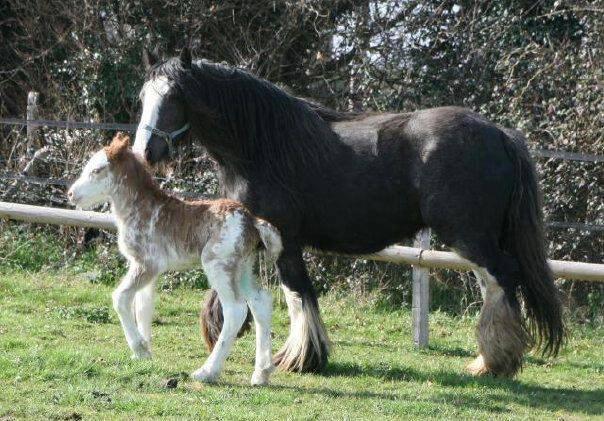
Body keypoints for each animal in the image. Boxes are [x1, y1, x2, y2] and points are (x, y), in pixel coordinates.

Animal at [68, 134, 280, 384]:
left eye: (97, 170)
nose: (71, 194)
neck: (139, 210)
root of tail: (253, 223)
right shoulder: (146, 269)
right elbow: (143, 305)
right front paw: (144, 353)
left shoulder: (147, 264)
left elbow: (120, 297)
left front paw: (139, 347)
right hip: (243, 267)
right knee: (260, 302)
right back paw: (261, 373)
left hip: (218, 264)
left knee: (236, 309)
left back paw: (207, 372)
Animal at [132, 47, 560, 376]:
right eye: (143, 97)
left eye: (174, 97)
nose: (144, 153)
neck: (263, 147)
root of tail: (500, 134)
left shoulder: (284, 239)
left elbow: (297, 293)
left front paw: (302, 357)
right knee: (494, 284)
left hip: (469, 235)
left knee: (502, 278)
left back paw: (494, 361)